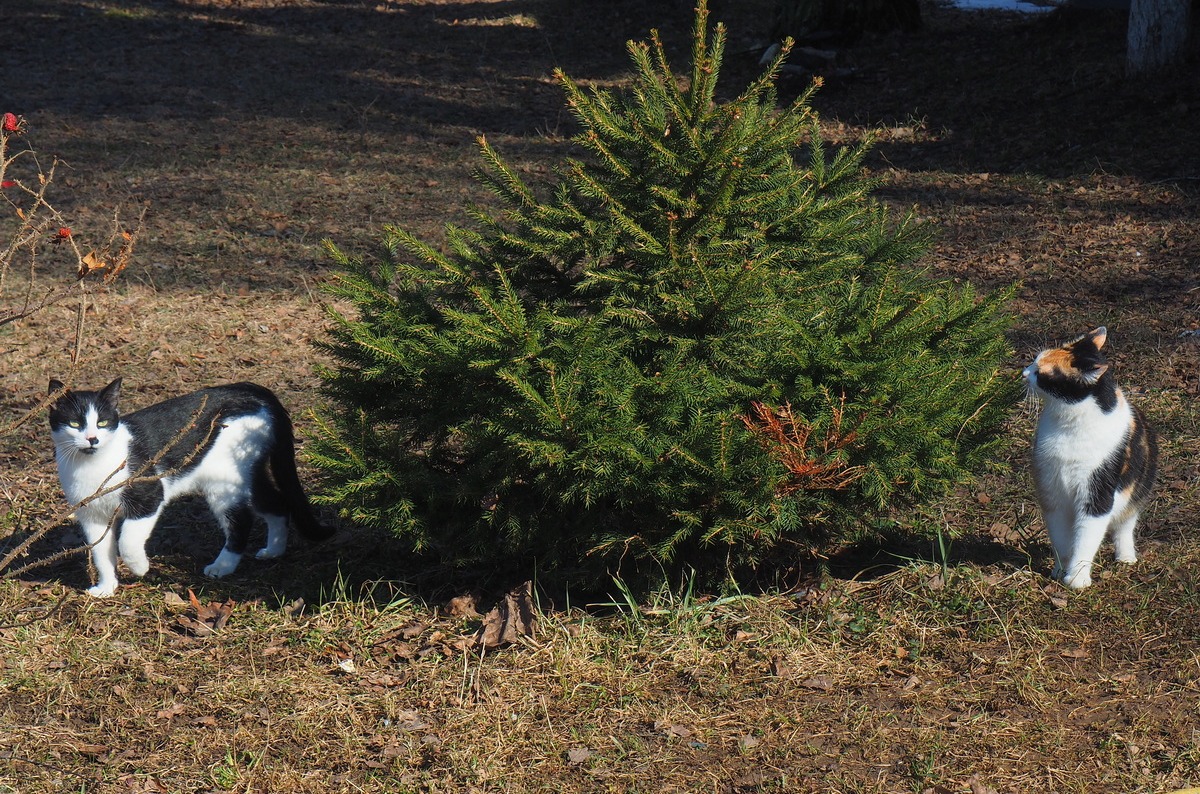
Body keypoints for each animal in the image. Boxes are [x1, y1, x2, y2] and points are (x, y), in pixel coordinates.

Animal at [47, 379, 331, 597]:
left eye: (103, 423)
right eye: (75, 424)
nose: (92, 439)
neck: (92, 466)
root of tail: (250, 389)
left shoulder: (150, 496)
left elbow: (126, 541)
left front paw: (140, 568)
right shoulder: (91, 515)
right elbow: (100, 551)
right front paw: (107, 587)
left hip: (224, 480)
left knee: (241, 520)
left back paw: (223, 566)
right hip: (246, 474)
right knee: (277, 503)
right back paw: (274, 550)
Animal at [1027, 326, 1156, 594]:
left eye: (1040, 373)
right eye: (1034, 361)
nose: (1024, 372)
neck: (1068, 422)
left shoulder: (1098, 492)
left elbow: (1086, 536)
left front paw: (1077, 579)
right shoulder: (1051, 491)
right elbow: (1061, 537)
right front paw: (1060, 570)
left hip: (1138, 489)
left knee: (1125, 525)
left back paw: (1126, 557)